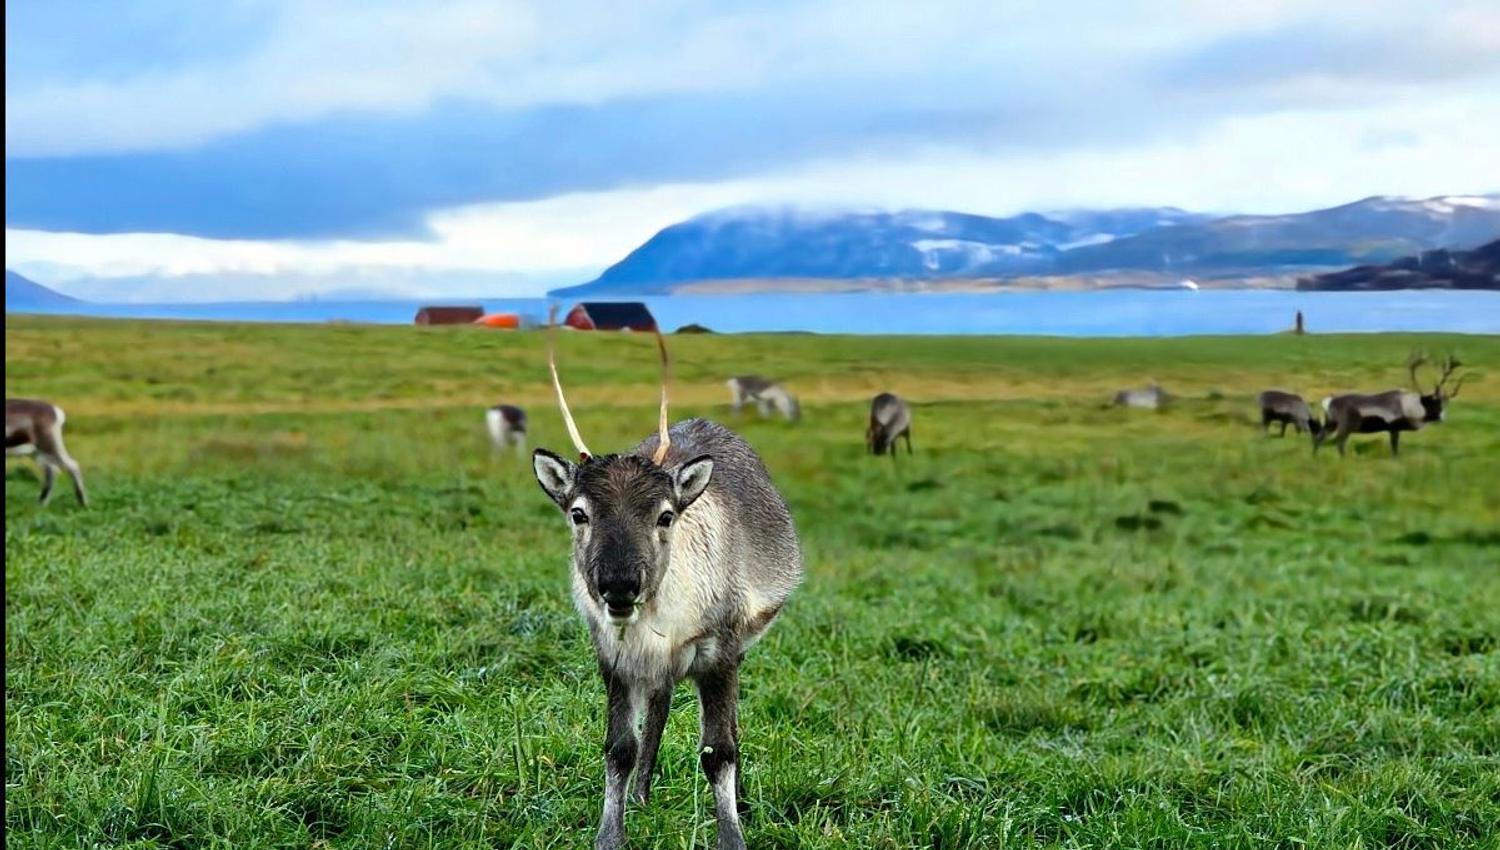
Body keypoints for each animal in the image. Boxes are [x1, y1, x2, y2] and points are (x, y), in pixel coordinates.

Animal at [532, 311, 802, 850]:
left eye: (665, 515)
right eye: (578, 513)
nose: (619, 586)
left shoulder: (719, 652)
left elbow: (719, 750)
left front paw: (732, 835)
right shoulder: (614, 656)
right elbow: (619, 747)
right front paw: (610, 833)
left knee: (728, 725)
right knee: (660, 702)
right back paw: (641, 793)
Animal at [1315, 352, 1467, 456]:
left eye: (1444, 403)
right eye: (1433, 403)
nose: (1442, 418)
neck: (1407, 405)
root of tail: (1329, 401)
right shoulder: (1394, 428)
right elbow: (1394, 448)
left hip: (1330, 424)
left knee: (1320, 438)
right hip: (1345, 426)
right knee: (1339, 442)